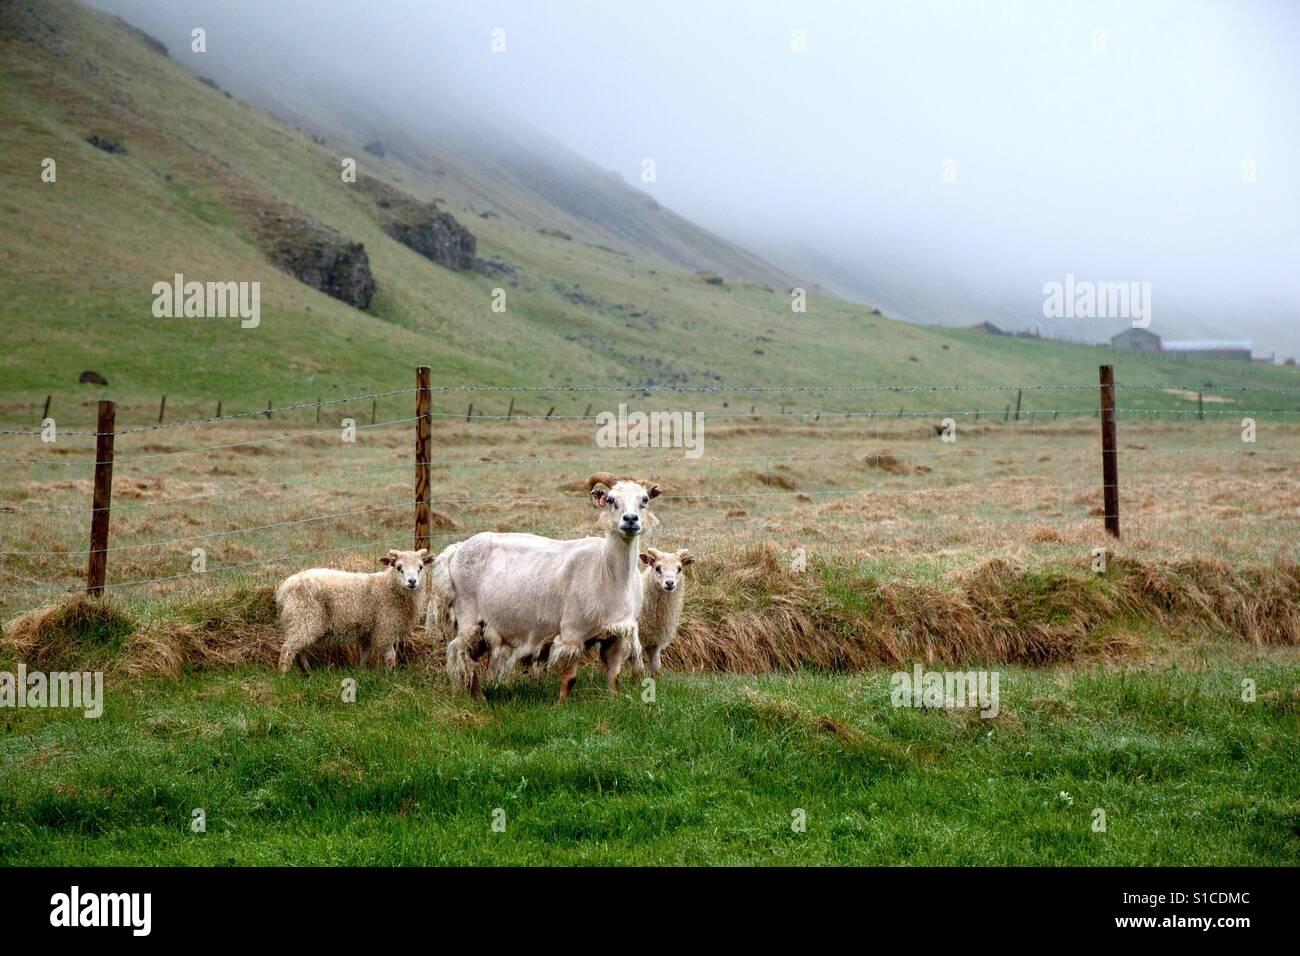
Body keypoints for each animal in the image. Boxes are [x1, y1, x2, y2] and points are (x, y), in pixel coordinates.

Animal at [276, 548, 432, 674]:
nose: (412, 581)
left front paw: (361, 671)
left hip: (300, 622)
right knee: (288, 648)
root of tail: (283, 589)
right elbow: (391, 656)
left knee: (300, 648)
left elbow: (366, 653)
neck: (388, 586)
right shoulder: (385, 628)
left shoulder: (369, 631)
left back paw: (307, 671)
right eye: (399, 567)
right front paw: (390, 676)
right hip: (304, 617)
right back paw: (283, 674)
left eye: (420, 567)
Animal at [428, 472, 659, 702]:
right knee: (462, 653)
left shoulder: (618, 633)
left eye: (645, 500)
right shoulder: (572, 632)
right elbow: (570, 678)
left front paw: (613, 700)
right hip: (468, 615)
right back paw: (480, 699)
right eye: (611, 500)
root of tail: (457, 549)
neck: (605, 569)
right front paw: (561, 705)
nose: (630, 520)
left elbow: (614, 675)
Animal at [637, 547, 694, 678]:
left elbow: (656, 667)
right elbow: (639, 669)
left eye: (679, 569)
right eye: (657, 568)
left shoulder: (655, 641)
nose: (669, 583)